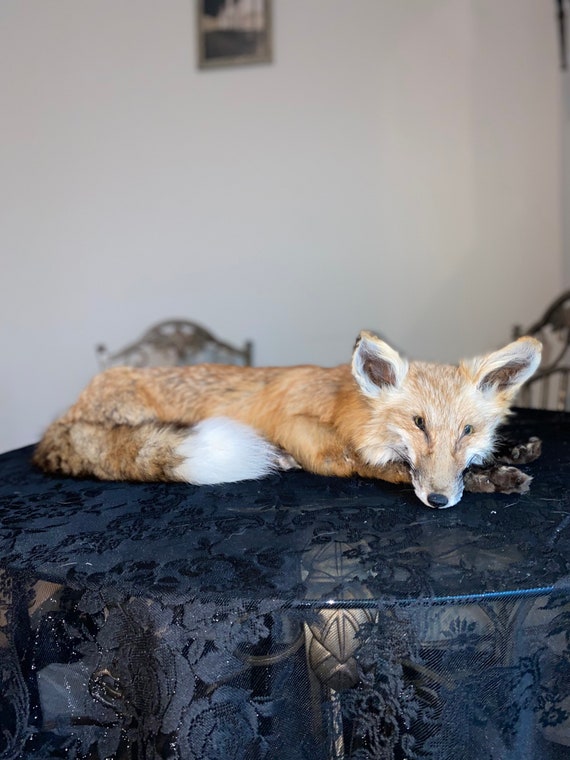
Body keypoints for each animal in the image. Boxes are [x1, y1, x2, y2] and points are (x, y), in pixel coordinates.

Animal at [33, 331, 542, 509]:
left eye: (466, 431)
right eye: (418, 424)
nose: (438, 501)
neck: (344, 404)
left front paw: (508, 455)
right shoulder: (310, 434)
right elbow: (380, 466)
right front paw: (490, 479)